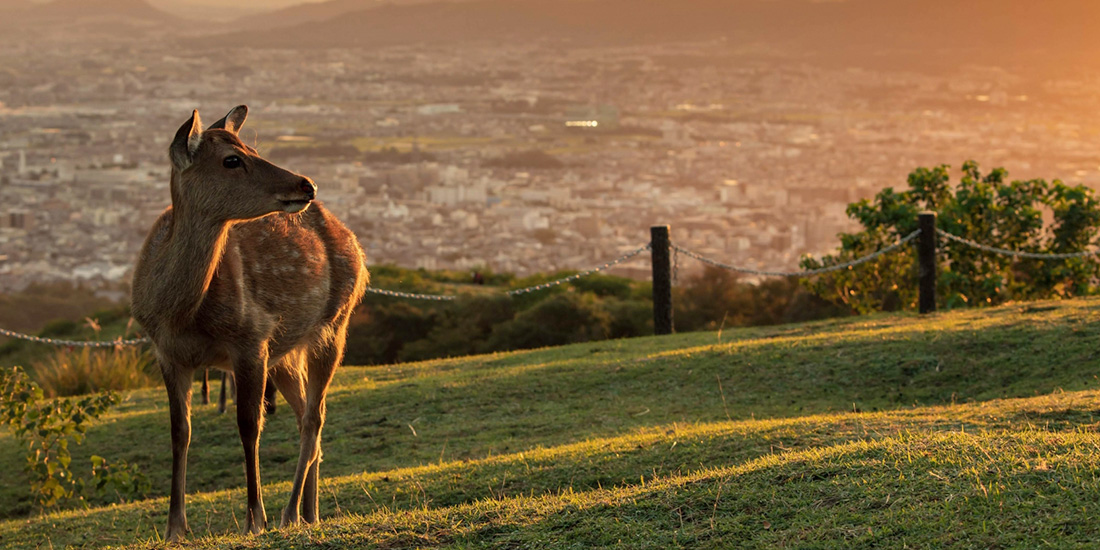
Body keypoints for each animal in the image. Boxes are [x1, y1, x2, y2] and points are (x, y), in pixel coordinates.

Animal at [130, 103, 367, 541]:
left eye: (251, 148)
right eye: (232, 159)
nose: (306, 184)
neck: (183, 314)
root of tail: (352, 239)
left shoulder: (251, 339)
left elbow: (248, 425)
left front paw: (255, 519)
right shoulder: (165, 353)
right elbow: (179, 431)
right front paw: (175, 527)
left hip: (335, 325)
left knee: (314, 418)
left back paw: (289, 513)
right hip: (286, 354)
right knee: (306, 416)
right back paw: (310, 514)